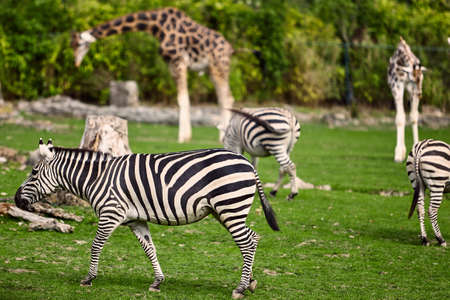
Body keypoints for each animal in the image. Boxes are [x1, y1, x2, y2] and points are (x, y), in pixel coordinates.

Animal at [15, 138, 280, 298]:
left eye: (34, 173)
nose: (17, 200)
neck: (97, 178)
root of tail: (247, 163)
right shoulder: (136, 220)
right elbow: (149, 249)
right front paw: (157, 281)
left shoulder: (110, 213)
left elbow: (96, 245)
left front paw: (89, 278)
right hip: (225, 210)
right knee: (252, 238)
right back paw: (250, 281)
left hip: (230, 207)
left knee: (247, 242)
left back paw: (240, 287)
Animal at [71, 7, 236, 143]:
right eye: (72, 45)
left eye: (78, 45)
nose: (76, 63)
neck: (156, 26)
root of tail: (230, 48)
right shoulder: (171, 64)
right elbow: (182, 99)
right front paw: (185, 136)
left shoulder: (178, 61)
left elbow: (182, 99)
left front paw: (182, 138)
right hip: (211, 69)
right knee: (226, 97)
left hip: (218, 67)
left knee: (226, 98)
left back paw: (223, 136)